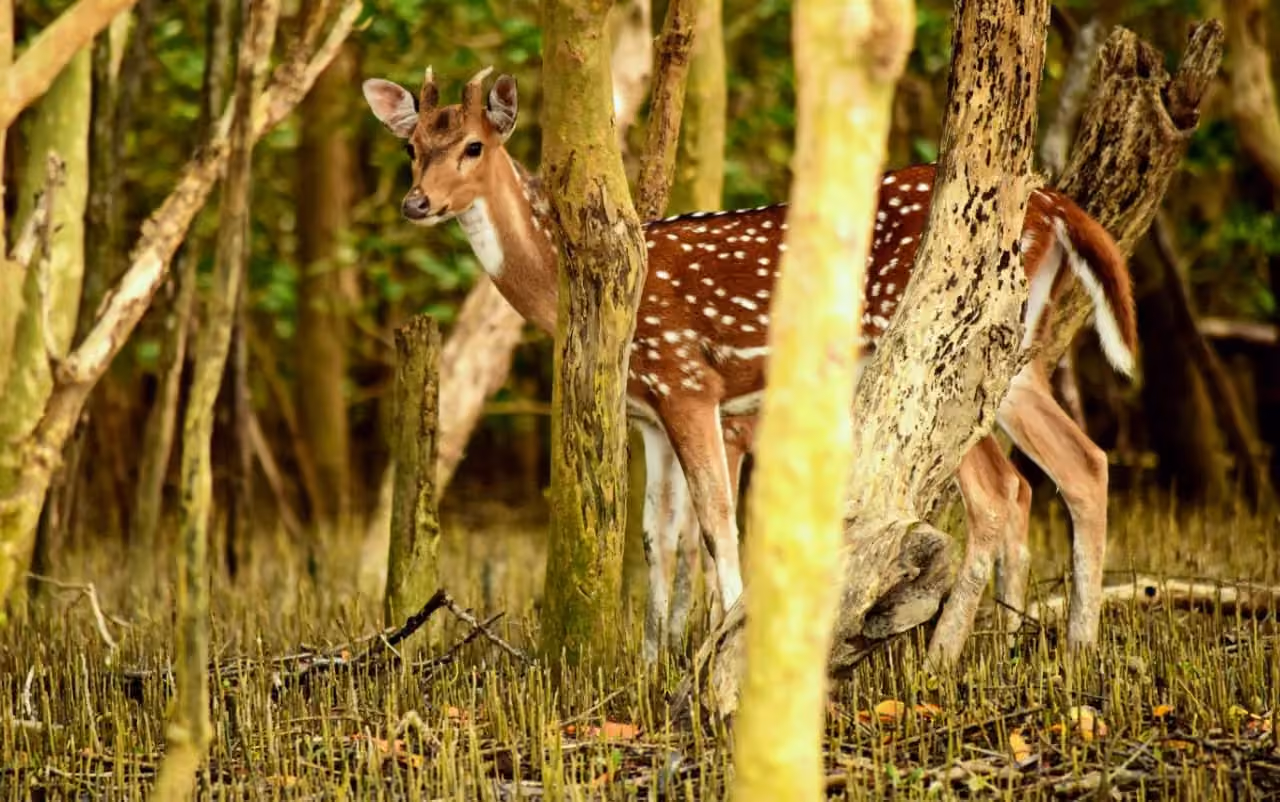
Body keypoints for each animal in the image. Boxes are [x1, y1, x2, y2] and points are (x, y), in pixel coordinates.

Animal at [361, 66, 1138, 665]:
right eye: (410, 146)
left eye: (472, 145)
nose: (416, 201)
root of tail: (1050, 201)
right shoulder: (648, 413)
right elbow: (657, 535)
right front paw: (652, 661)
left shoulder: (687, 381)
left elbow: (714, 522)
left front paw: (715, 648)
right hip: (1013, 359)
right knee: (1078, 464)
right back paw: (1063, 647)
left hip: (944, 346)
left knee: (1004, 487)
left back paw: (950, 658)